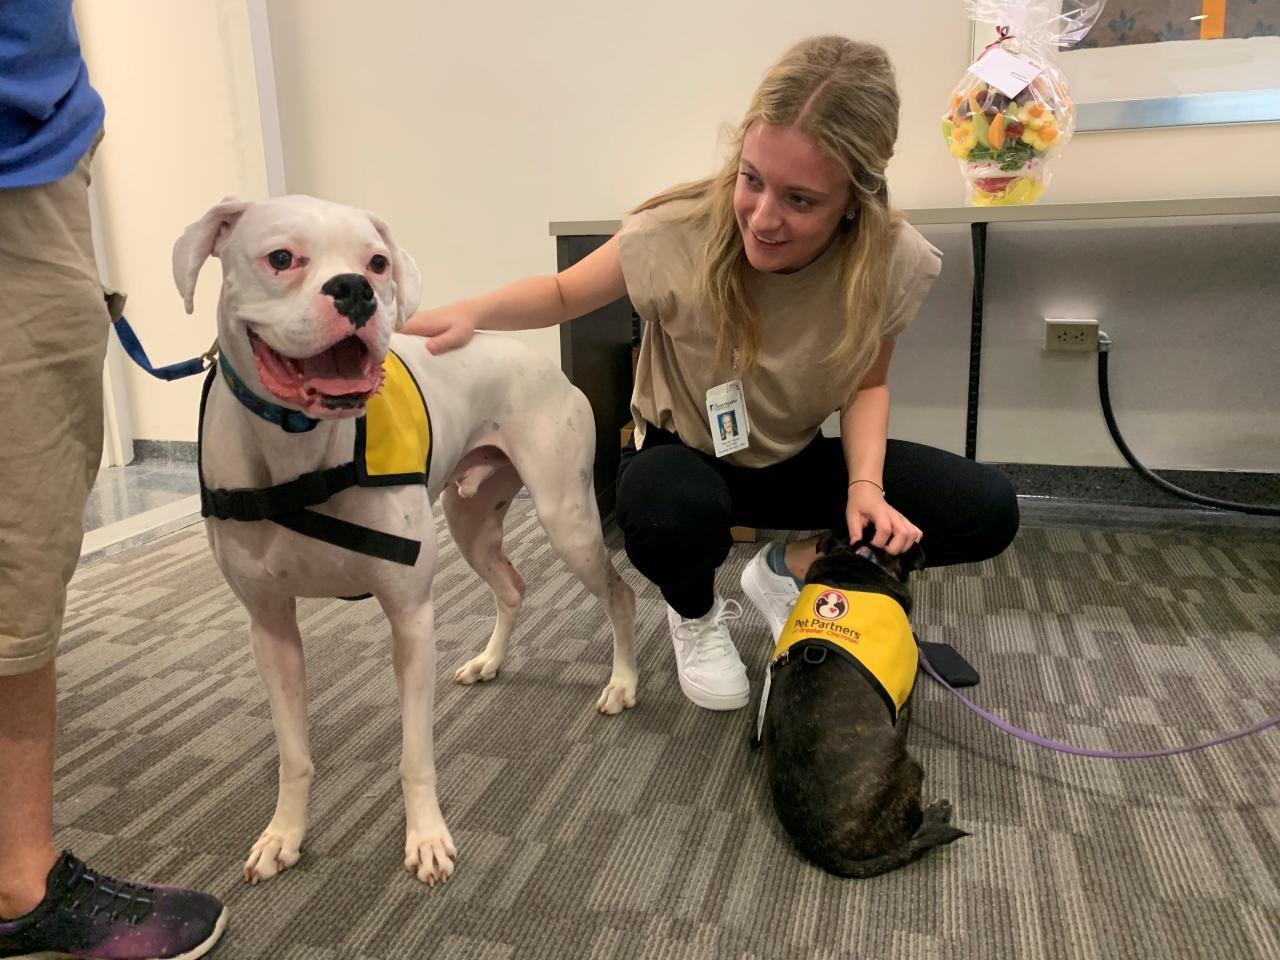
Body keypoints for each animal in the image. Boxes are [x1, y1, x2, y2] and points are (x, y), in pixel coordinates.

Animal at [173, 195, 637, 886]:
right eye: (281, 258)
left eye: (377, 262)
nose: (355, 290)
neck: (302, 452)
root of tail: (537, 360)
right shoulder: (270, 628)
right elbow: (293, 754)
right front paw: (285, 834)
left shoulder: (411, 617)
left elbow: (415, 753)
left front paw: (426, 839)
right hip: (472, 522)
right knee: (512, 586)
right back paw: (490, 660)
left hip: (567, 517)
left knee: (618, 593)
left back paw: (623, 683)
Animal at [759, 532, 965, 877]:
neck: (860, 563)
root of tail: (822, 848)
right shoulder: (905, 700)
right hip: (911, 772)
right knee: (911, 837)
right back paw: (937, 814)